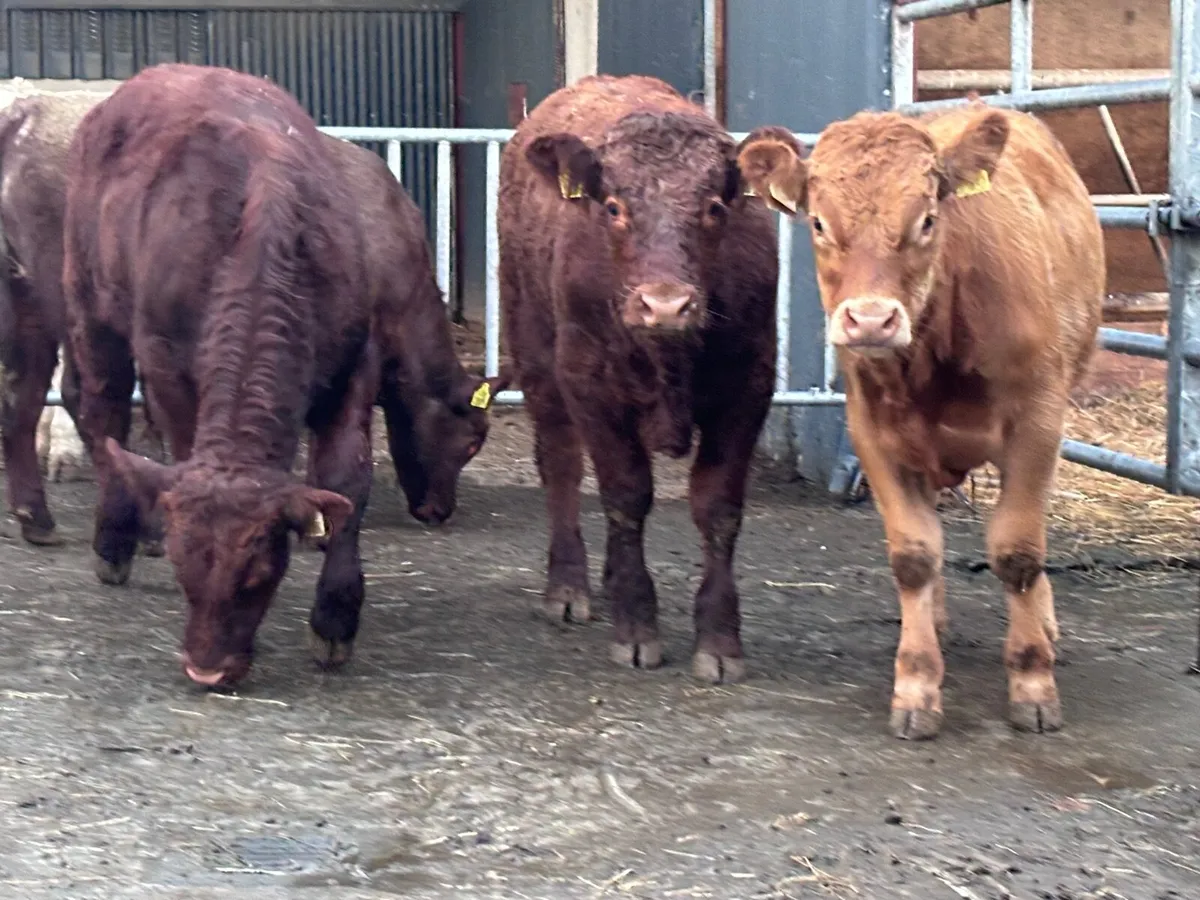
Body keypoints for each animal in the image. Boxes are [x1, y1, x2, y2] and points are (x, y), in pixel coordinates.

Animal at [62, 63, 379, 688]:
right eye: (184, 569)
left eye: (257, 575)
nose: (206, 672)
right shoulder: (166, 366)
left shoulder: (352, 368)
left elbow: (348, 483)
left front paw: (335, 618)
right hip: (91, 310)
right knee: (105, 413)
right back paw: (114, 540)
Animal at [498, 74, 791, 682]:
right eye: (613, 207)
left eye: (713, 208)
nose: (665, 305)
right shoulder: (588, 382)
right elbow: (624, 495)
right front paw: (636, 628)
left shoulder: (749, 385)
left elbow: (718, 507)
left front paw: (720, 641)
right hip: (536, 356)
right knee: (561, 466)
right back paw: (569, 588)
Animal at [737, 102, 1104, 739]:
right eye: (818, 223)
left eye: (927, 220)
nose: (870, 320)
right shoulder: (873, 432)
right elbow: (913, 556)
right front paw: (916, 683)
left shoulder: (1038, 422)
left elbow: (1018, 550)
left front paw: (1032, 679)